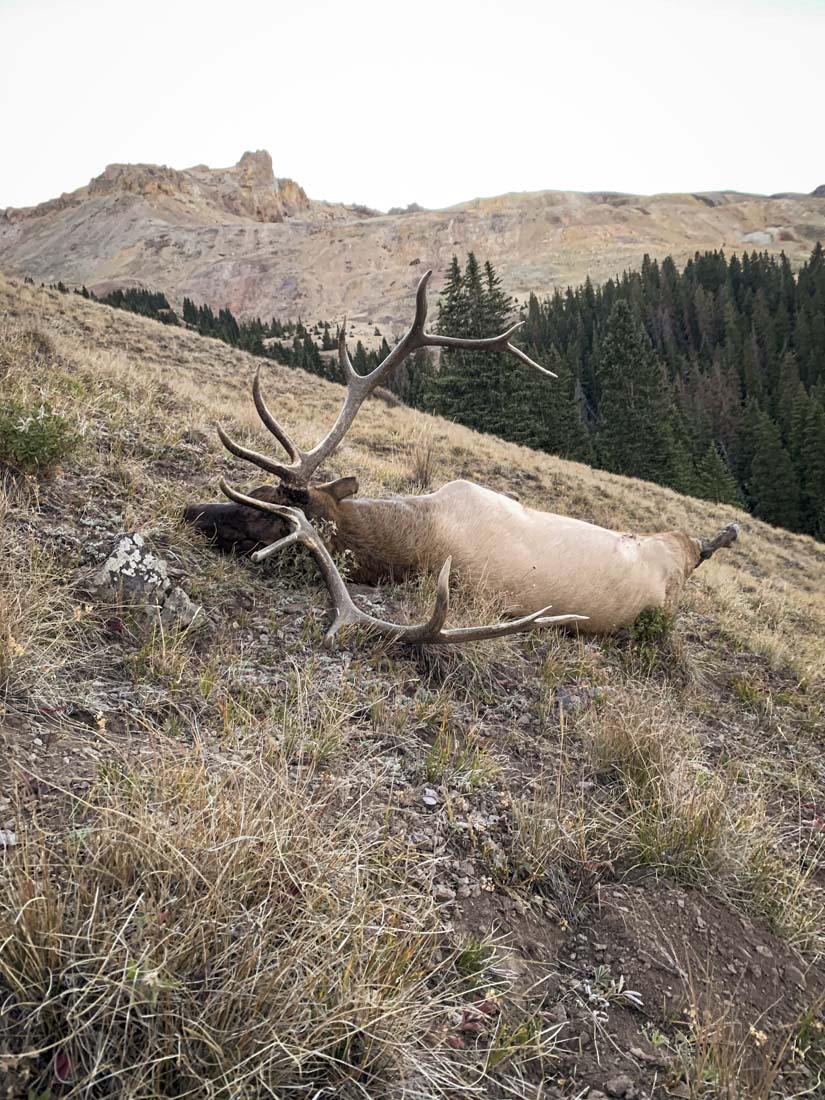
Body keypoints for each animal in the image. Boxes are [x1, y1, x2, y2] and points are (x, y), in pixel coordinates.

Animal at [184, 270, 740, 647]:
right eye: (259, 490)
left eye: (266, 520)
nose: (191, 511)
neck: (422, 525)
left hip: (672, 568)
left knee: (694, 548)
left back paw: (726, 532)